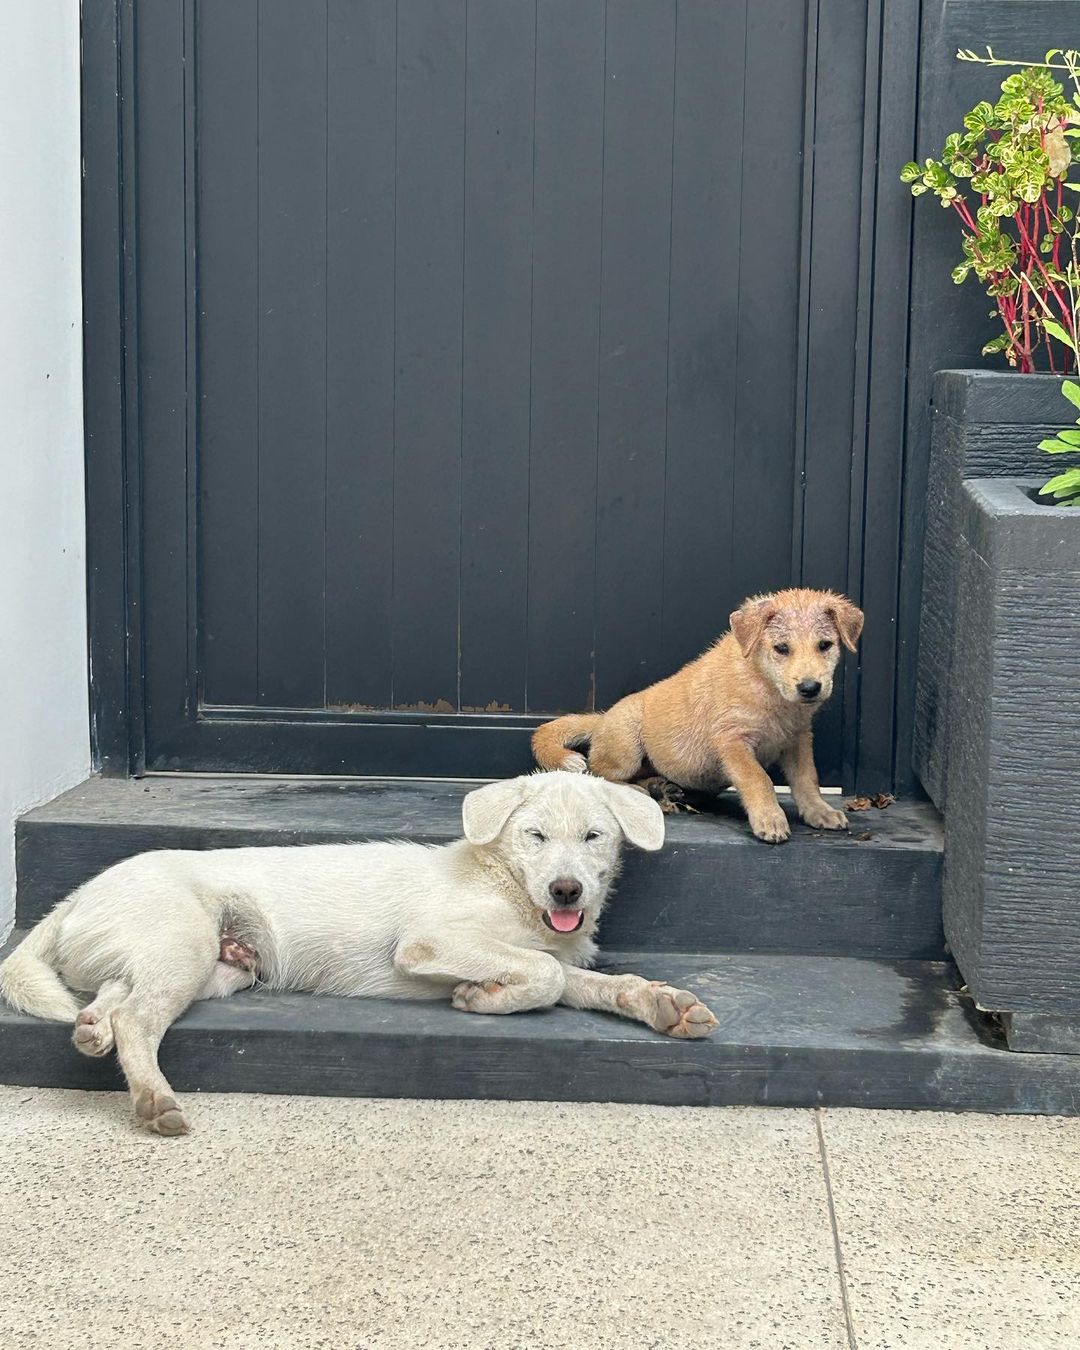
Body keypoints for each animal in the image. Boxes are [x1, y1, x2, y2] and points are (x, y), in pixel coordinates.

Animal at [4, 777, 723, 1134]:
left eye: (594, 836)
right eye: (536, 836)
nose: (566, 890)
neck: (507, 886)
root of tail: (79, 893)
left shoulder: (542, 950)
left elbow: (592, 981)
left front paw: (663, 1003)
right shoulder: (431, 942)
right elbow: (544, 975)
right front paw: (481, 998)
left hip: (213, 968)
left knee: (109, 999)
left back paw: (91, 1029)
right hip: (184, 947)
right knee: (135, 1020)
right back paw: (153, 1099)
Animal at [534, 591, 864, 842]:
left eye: (825, 645)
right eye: (781, 648)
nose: (810, 688)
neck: (766, 688)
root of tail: (601, 720)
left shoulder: (797, 740)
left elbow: (807, 779)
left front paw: (820, 812)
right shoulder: (732, 740)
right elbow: (759, 778)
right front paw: (771, 819)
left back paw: (660, 787)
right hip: (625, 747)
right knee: (599, 774)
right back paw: (641, 793)